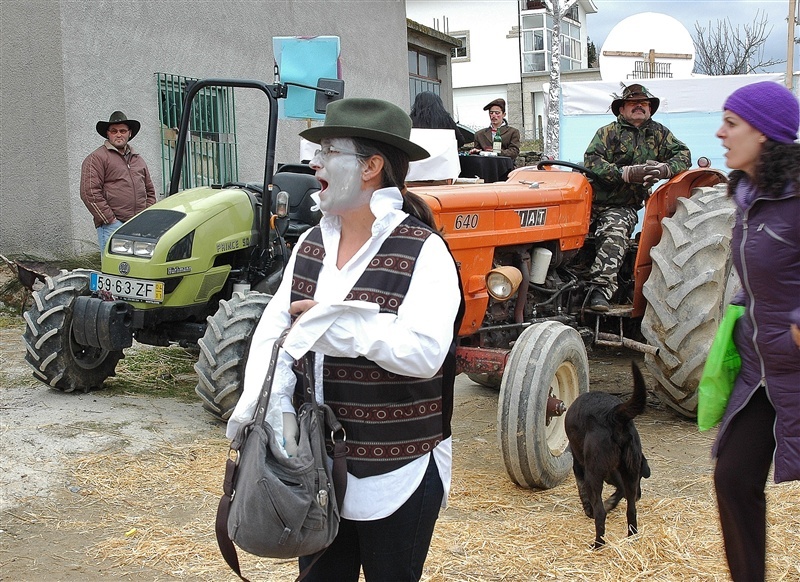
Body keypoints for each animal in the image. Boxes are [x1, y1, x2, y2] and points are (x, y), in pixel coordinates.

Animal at [564, 362, 648, 548]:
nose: (639, 496)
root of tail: (614, 415)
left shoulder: (580, 467)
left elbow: (582, 490)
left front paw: (589, 509)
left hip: (594, 474)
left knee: (601, 513)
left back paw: (598, 544)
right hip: (630, 473)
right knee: (631, 510)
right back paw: (631, 537)